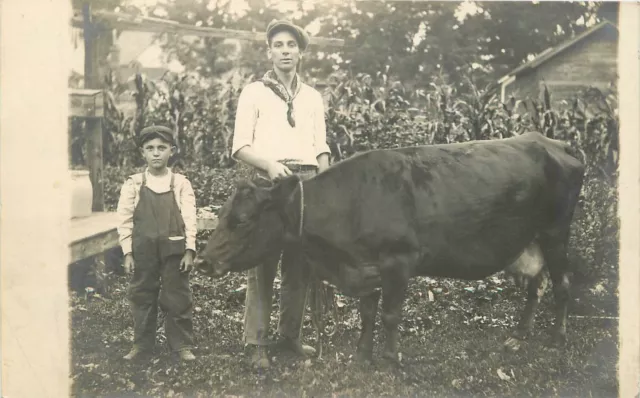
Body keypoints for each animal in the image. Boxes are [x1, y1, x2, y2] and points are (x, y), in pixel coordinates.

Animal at [195, 132, 584, 362]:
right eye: (221, 214)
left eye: (242, 220)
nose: (203, 262)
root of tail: (551, 141)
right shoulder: (366, 266)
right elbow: (368, 312)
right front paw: (362, 355)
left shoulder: (400, 261)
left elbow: (390, 314)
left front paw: (391, 359)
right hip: (531, 240)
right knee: (536, 284)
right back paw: (519, 335)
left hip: (555, 232)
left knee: (562, 284)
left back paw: (558, 337)